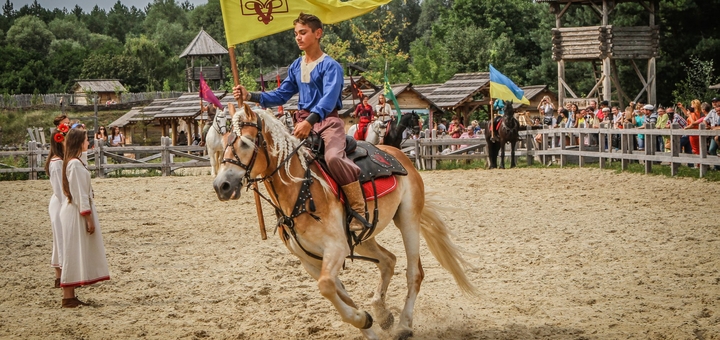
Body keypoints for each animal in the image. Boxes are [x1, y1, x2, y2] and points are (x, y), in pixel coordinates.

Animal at [211, 103, 476, 340]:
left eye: (245, 143)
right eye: (224, 143)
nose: (221, 186)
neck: (300, 189)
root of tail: (399, 154)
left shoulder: (335, 249)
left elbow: (326, 286)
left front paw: (363, 319)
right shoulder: (310, 260)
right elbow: (339, 294)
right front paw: (367, 323)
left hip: (408, 220)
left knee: (414, 273)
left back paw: (403, 325)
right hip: (364, 237)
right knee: (388, 261)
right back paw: (383, 315)